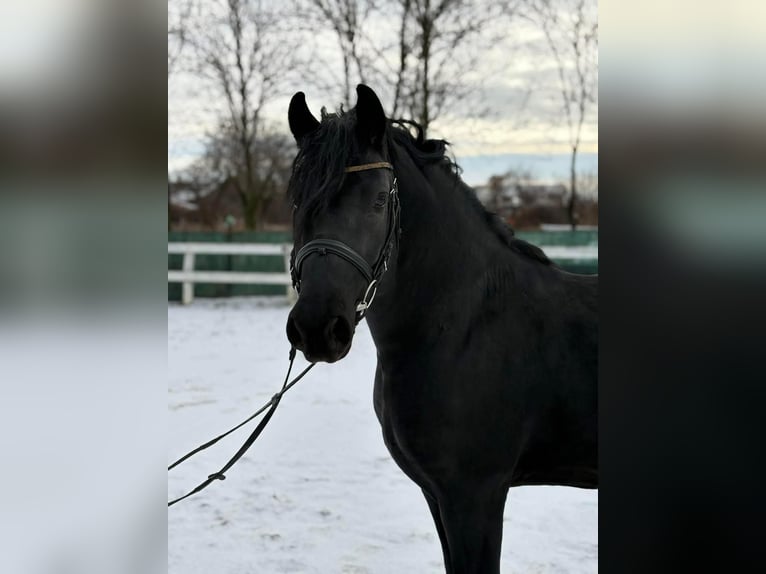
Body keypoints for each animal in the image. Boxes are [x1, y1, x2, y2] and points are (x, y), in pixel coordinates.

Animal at [284, 85, 596, 574]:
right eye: (298, 199)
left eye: (379, 200)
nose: (317, 328)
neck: (463, 326)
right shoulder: (438, 495)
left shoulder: (474, 496)